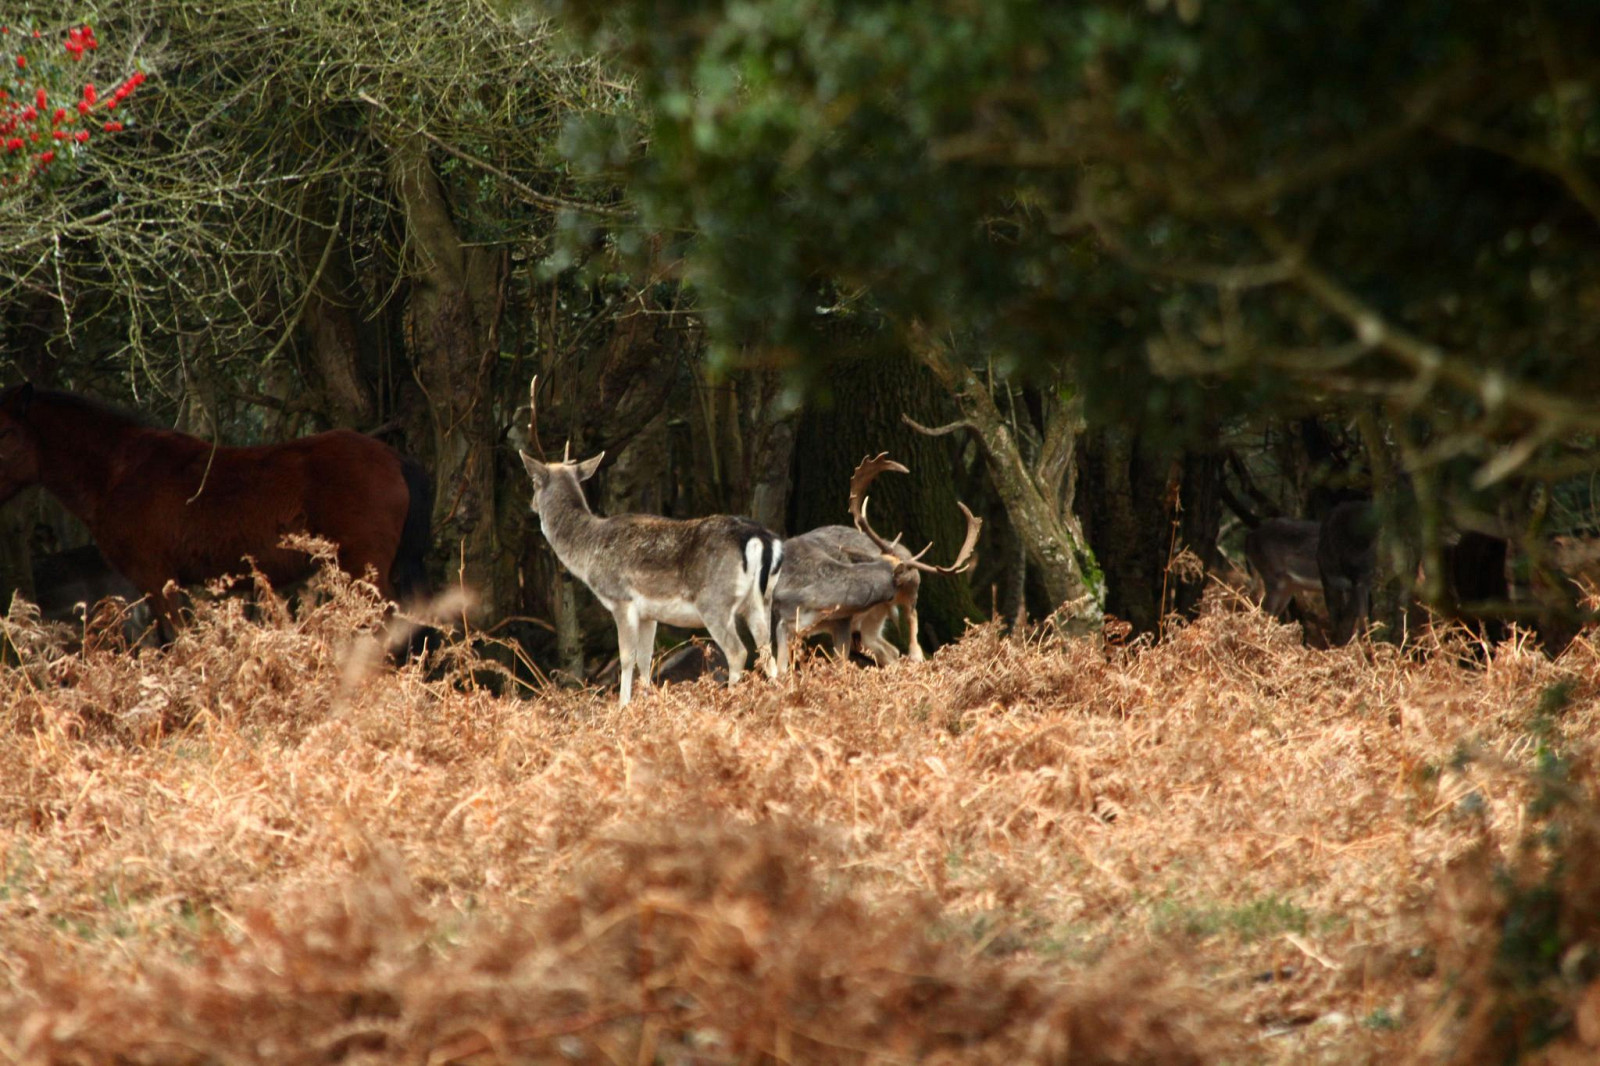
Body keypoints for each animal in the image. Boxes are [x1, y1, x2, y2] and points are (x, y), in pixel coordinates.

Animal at [518, 440, 783, 707]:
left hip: (715, 602)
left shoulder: (620, 599)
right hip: (760, 601)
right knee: (767, 651)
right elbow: (645, 658)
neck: (587, 552)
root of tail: (761, 538)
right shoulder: (649, 614)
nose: (530, 505)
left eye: (533, 482)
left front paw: (623, 705)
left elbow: (626, 657)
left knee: (738, 651)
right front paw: (645, 700)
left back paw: (731, 698)